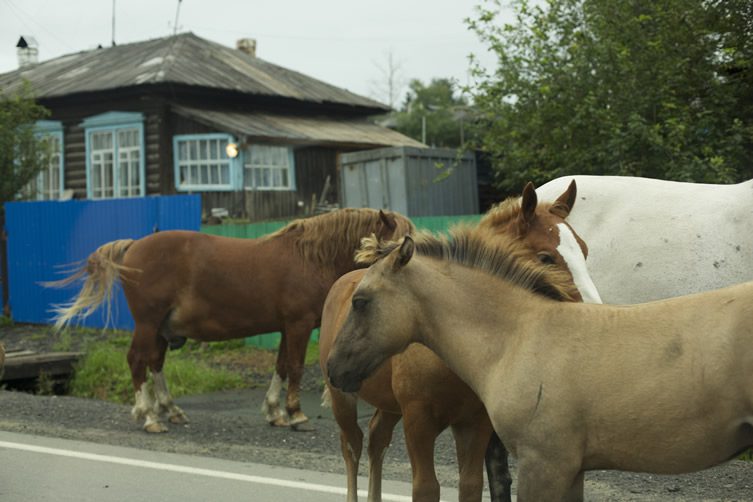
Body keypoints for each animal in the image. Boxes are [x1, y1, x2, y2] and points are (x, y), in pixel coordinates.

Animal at [50, 207, 412, 432]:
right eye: (388, 250)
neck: (309, 257)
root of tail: (134, 244)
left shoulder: (286, 327)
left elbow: (281, 367)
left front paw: (275, 412)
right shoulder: (298, 325)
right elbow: (295, 367)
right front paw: (296, 414)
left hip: (161, 329)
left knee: (155, 363)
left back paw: (170, 409)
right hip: (148, 324)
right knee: (137, 361)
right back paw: (150, 415)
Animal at [318, 182, 600, 500]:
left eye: (585, 251)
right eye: (545, 257)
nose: (595, 313)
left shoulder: (474, 422)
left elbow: (471, 484)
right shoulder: (418, 420)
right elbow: (426, 487)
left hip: (388, 405)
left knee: (377, 439)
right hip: (342, 397)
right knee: (351, 447)